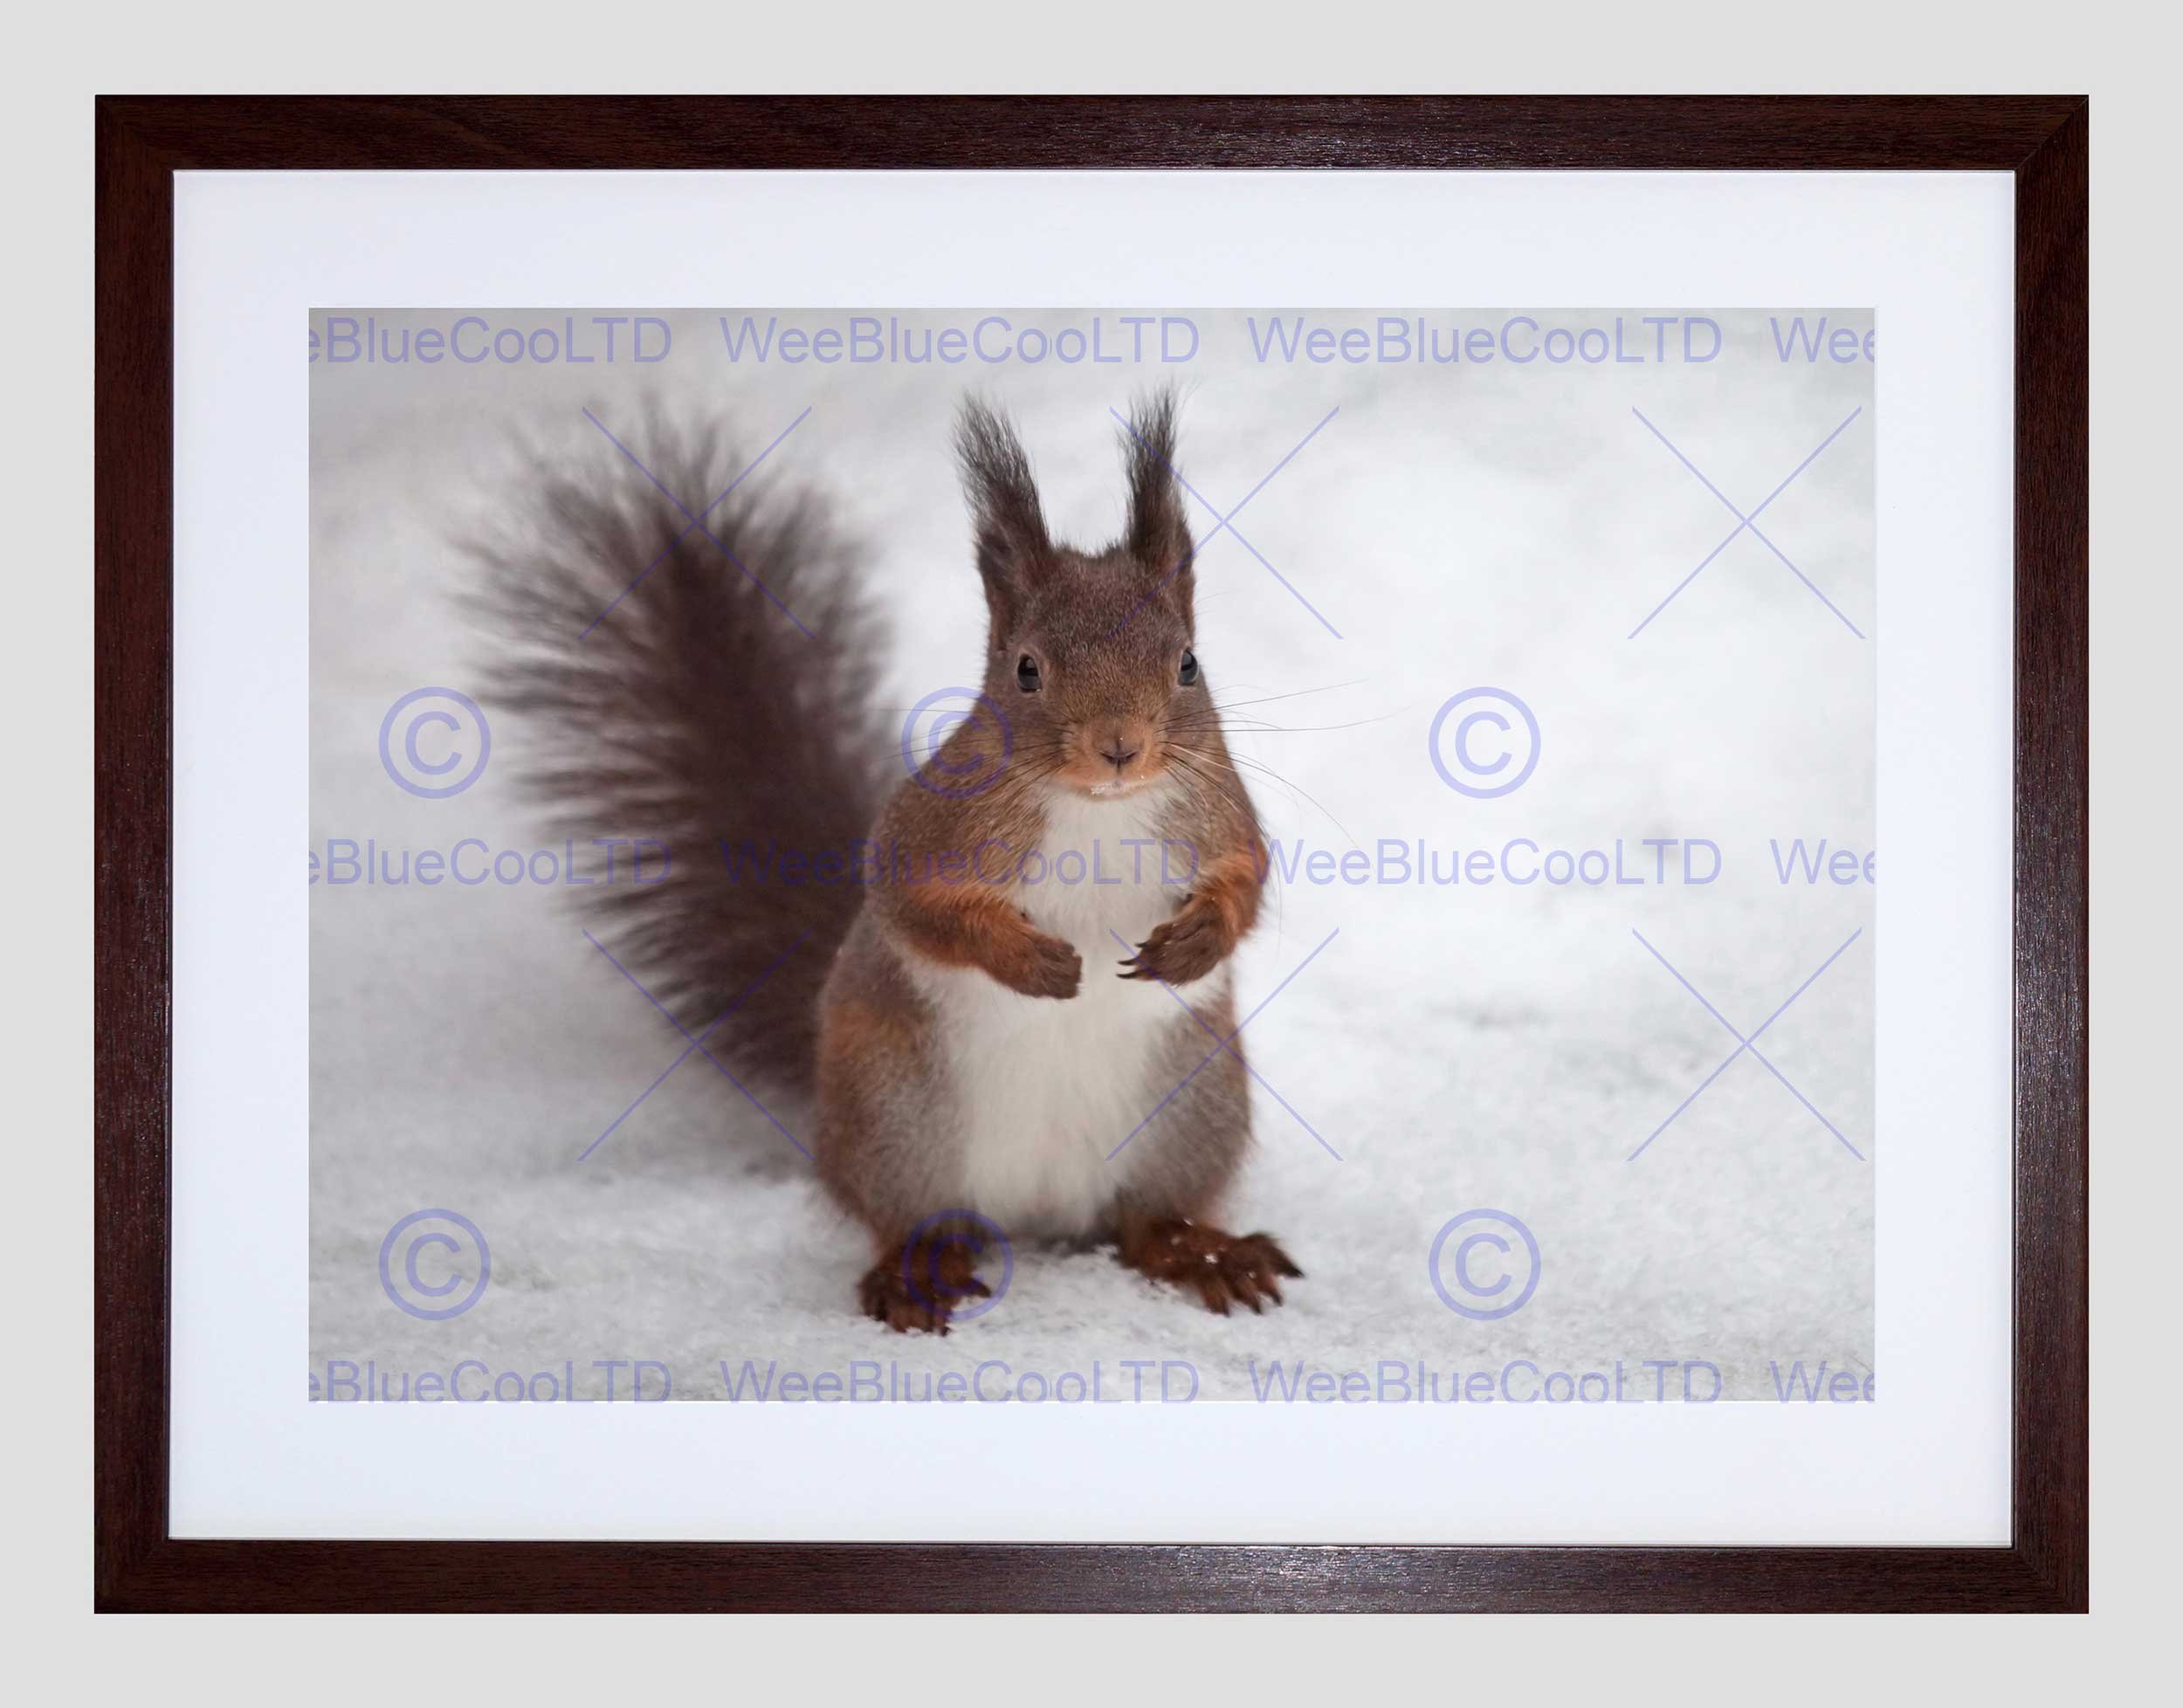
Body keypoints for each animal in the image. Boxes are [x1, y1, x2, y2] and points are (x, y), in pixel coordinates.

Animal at [473, 390, 1300, 1333]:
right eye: (1026, 670)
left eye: (1188, 664)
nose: (1119, 747)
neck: (1100, 808)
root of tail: (1036, 1212)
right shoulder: (927, 829)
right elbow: (913, 903)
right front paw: (1029, 959)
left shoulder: (1220, 817)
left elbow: (1247, 881)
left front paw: (1195, 943)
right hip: (894, 1119)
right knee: (906, 1216)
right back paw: (917, 1269)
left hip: (1190, 1115)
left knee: (1145, 1224)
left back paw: (1203, 1252)